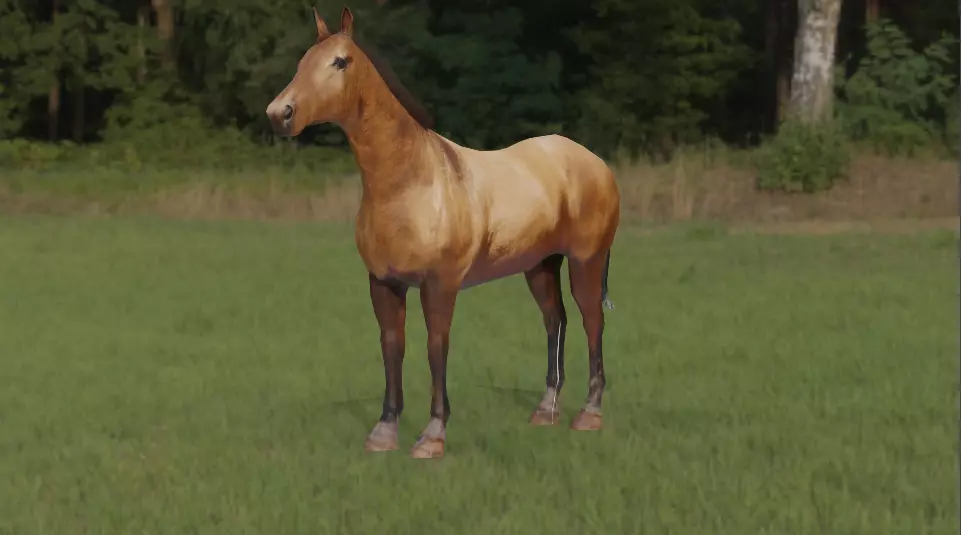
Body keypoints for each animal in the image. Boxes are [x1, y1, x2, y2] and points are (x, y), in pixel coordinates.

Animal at [266, 6, 620, 459]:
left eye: (340, 62)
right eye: (302, 62)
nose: (280, 113)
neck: (412, 183)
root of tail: (595, 163)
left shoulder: (439, 285)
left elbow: (436, 347)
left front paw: (432, 436)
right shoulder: (383, 283)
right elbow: (392, 345)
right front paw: (385, 432)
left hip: (585, 261)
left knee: (592, 321)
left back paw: (589, 414)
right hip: (540, 265)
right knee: (555, 321)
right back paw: (545, 411)